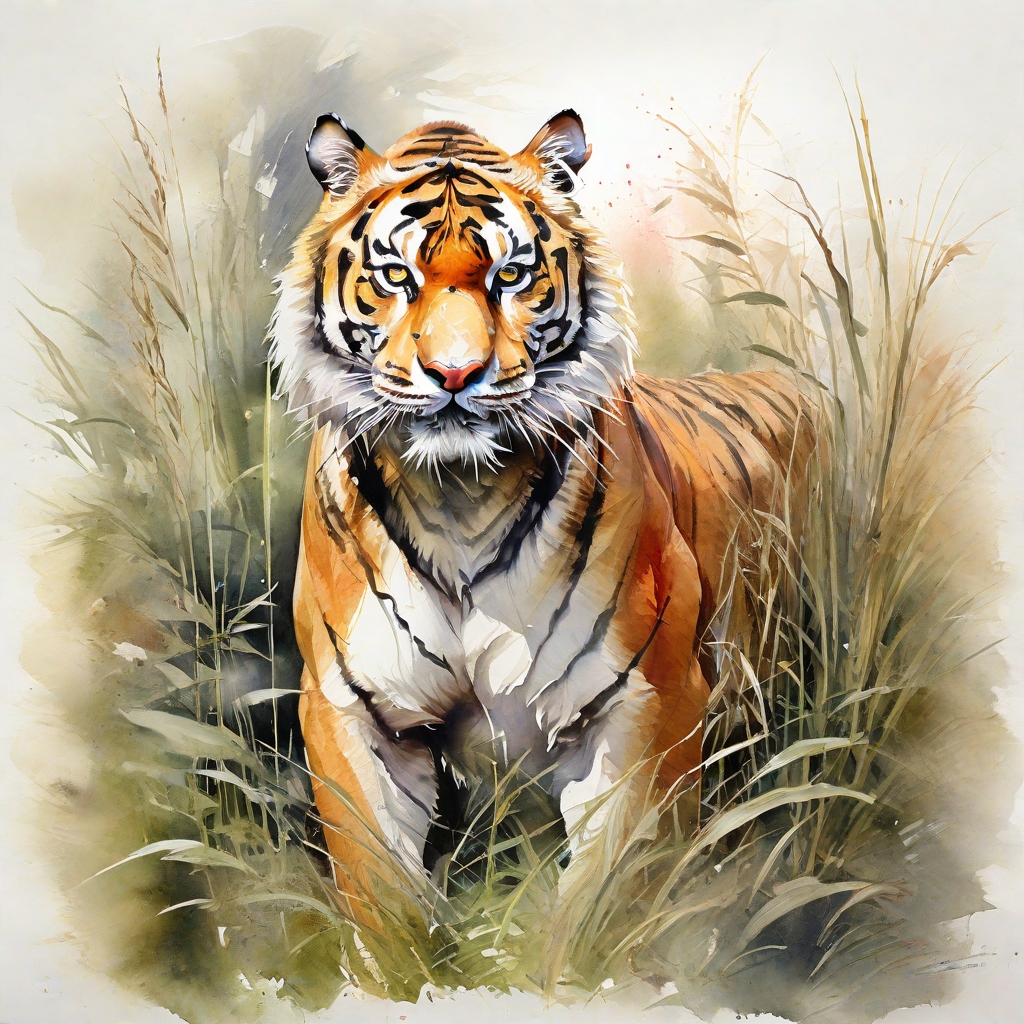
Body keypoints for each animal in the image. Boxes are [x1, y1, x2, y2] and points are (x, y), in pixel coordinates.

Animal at [269, 110, 813, 912]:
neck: (458, 502)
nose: (455, 373)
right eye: (396, 276)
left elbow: (609, 892)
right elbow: (381, 895)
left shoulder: (649, 697)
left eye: (511, 275)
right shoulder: (353, 708)